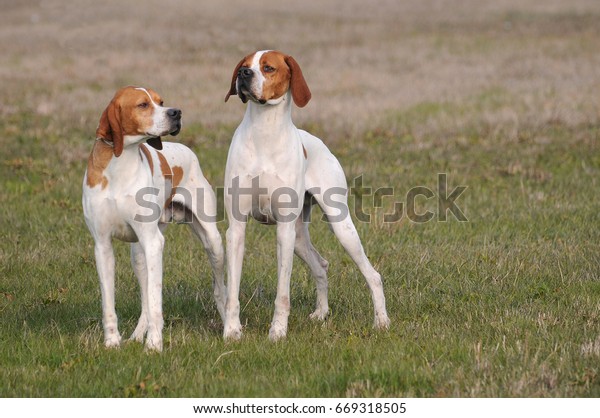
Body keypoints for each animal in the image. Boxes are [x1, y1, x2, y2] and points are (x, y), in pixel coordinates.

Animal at [83, 86, 226, 352]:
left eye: (161, 101)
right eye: (142, 105)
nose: (176, 112)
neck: (120, 165)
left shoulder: (153, 242)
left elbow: (155, 301)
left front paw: (154, 345)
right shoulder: (103, 246)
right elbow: (110, 303)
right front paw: (112, 341)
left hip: (212, 242)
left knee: (221, 289)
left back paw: (232, 326)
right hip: (139, 255)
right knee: (145, 302)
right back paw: (137, 334)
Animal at [223, 50, 392, 342]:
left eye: (268, 68)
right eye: (244, 66)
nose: (245, 75)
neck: (264, 131)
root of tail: (319, 142)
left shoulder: (284, 231)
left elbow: (282, 293)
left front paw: (277, 332)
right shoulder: (237, 228)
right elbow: (232, 291)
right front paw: (232, 330)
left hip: (339, 227)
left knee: (373, 275)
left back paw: (381, 321)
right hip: (300, 237)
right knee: (321, 266)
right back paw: (321, 313)